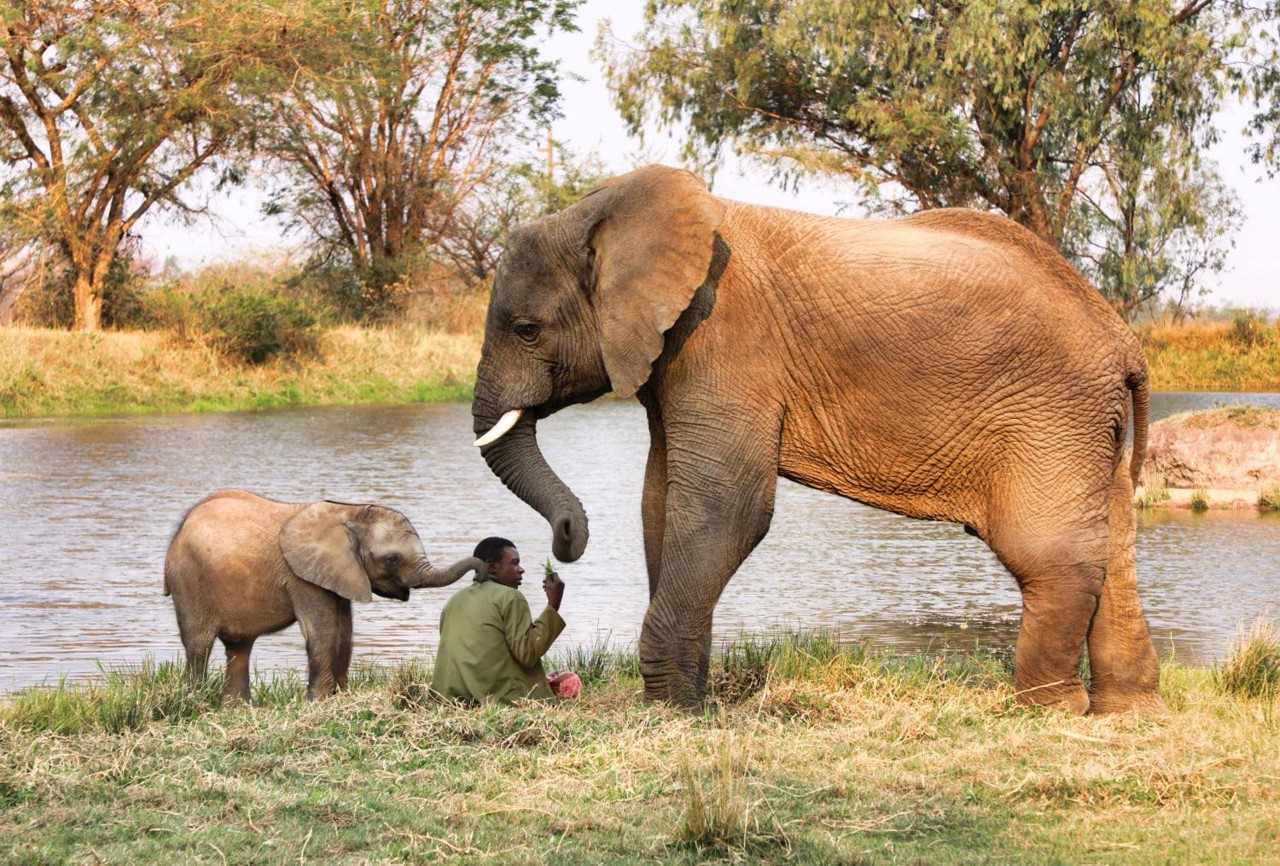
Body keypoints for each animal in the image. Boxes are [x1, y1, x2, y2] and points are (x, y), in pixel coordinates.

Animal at [164, 489, 485, 703]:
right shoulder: (302, 576)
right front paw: (318, 701)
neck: (350, 513)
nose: (481, 573)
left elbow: (344, 631)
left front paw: (339, 696)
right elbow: (323, 630)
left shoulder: (340, 572)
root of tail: (180, 529)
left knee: (239, 647)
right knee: (199, 643)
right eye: (392, 559)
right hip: (189, 581)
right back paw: (196, 703)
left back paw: (238, 709)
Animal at [471, 164, 1165, 716]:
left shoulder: (724, 337)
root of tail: (1121, 336)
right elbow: (660, 501)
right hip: (1085, 426)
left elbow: (725, 506)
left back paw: (1050, 711)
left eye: (528, 330)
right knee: (1112, 551)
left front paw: (671, 710)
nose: (565, 542)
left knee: (1048, 555)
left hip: (1052, 414)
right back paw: (1126, 712)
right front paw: (685, 704)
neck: (607, 213)